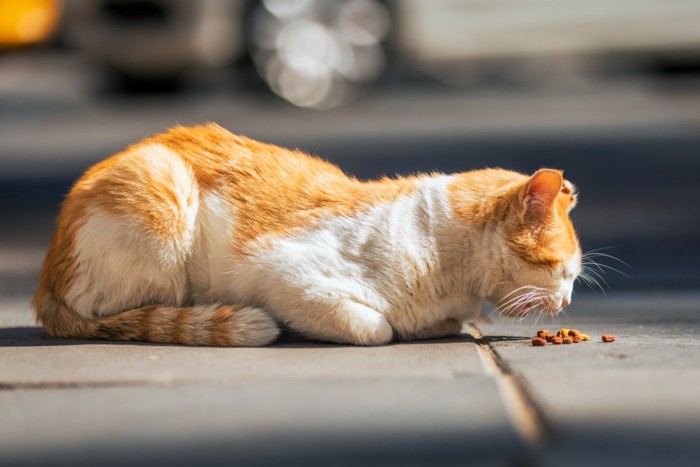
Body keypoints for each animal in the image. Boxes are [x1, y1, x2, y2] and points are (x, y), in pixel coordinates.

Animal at [31, 123, 580, 348]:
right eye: (562, 271)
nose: (570, 302)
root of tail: (43, 288)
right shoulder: (284, 275)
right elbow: (375, 327)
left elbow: (436, 323)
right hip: (161, 192)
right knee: (120, 314)